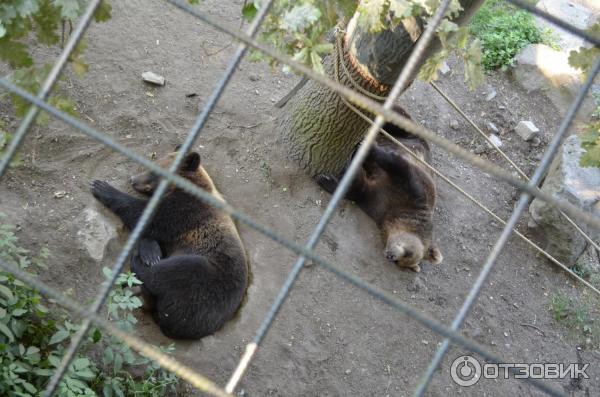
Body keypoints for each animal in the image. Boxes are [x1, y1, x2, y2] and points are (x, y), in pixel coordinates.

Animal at [89, 147, 248, 338]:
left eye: (155, 171)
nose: (133, 179)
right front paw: (150, 249)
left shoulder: (185, 211)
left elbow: (146, 214)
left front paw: (102, 187)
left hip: (207, 283)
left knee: (171, 273)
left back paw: (140, 263)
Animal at [314, 106, 440, 272]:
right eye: (409, 252)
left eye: (402, 261)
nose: (391, 255)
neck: (398, 215)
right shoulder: (413, 189)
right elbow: (396, 165)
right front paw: (366, 147)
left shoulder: (378, 202)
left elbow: (357, 188)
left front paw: (325, 178)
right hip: (411, 137)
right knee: (397, 119)